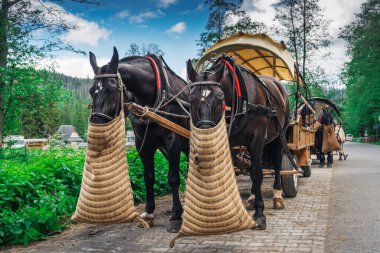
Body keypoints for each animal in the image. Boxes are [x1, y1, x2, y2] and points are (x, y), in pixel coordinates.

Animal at [89, 46, 190, 232]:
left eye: (112, 89)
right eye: (91, 91)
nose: (98, 129)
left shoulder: (173, 141)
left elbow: (173, 177)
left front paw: (176, 215)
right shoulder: (143, 143)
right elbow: (148, 177)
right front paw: (148, 213)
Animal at [186, 58, 288, 229]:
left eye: (220, 98)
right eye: (190, 99)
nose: (205, 135)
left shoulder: (257, 139)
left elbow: (257, 174)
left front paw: (259, 214)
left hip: (279, 136)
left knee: (277, 164)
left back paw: (277, 195)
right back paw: (252, 197)